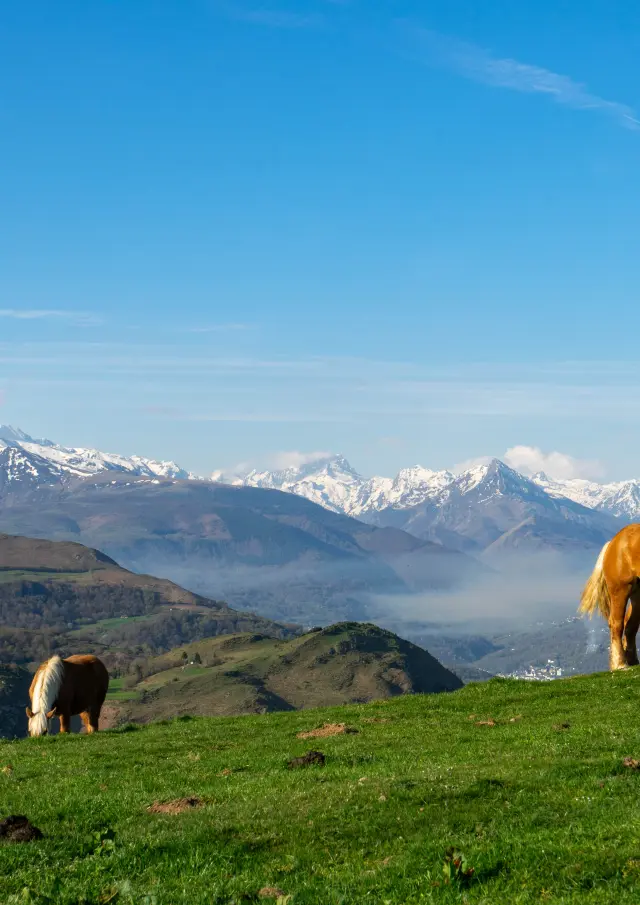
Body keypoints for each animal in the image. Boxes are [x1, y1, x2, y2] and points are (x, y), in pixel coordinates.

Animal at [580, 524, 640, 671]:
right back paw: (620, 663)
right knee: (616, 624)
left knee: (631, 625)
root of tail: (613, 542)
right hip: (621, 589)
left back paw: (632, 661)